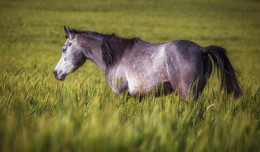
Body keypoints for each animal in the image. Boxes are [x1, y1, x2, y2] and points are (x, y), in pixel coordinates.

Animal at [52, 26, 242, 100]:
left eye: (64, 49)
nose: (55, 73)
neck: (116, 57)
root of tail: (201, 49)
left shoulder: (119, 94)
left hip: (187, 93)